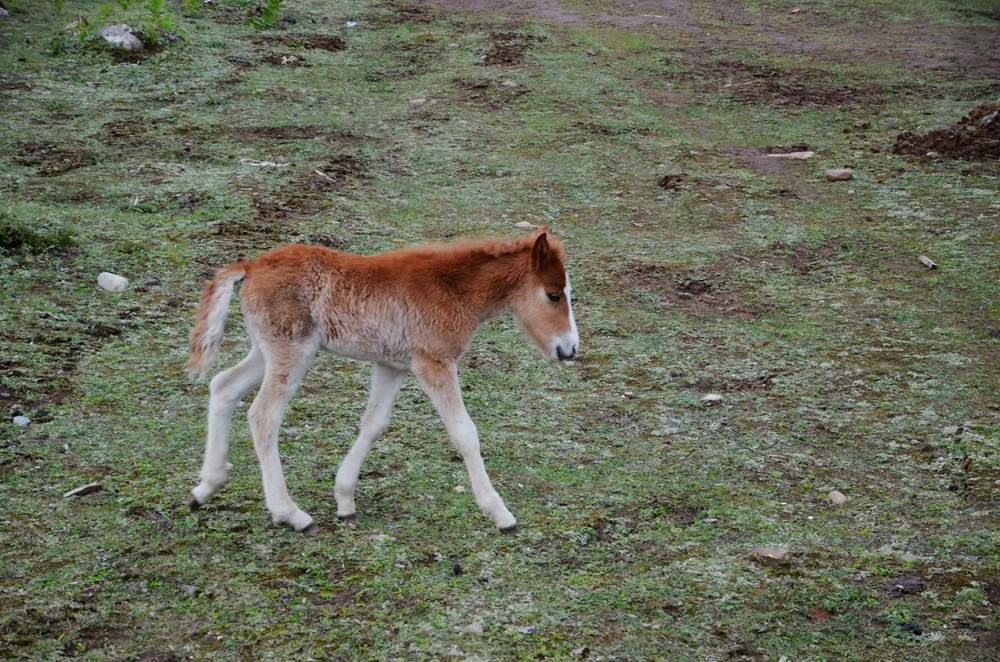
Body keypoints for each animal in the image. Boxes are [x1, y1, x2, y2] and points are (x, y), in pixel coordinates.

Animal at [186, 228, 580, 536]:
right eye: (553, 295)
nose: (570, 349)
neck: (451, 287)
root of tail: (251, 266)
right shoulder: (433, 362)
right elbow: (464, 432)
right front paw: (499, 513)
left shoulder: (391, 366)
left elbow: (374, 424)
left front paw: (345, 499)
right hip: (292, 351)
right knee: (263, 416)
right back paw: (290, 513)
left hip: (266, 351)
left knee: (223, 386)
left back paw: (206, 487)